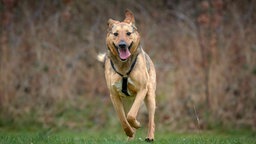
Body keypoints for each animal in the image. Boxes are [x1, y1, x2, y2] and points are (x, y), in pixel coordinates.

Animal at [98, 9, 156, 142]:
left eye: (128, 33)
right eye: (115, 34)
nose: (122, 45)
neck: (124, 67)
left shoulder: (142, 90)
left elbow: (130, 116)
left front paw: (137, 124)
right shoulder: (114, 96)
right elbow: (123, 119)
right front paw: (129, 131)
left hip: (149, 96)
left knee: (151, 119)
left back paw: (149, 136)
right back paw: (131, 136)